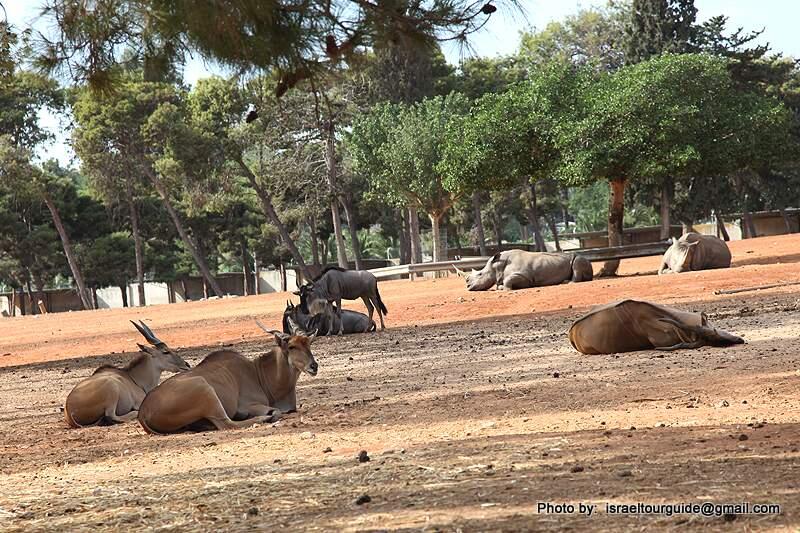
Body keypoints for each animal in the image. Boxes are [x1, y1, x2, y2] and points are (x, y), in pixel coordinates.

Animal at [138, 320, 316, 432]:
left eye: (308, 343)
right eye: (291, 346)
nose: (314, 366)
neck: (258, 373)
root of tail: (143, 413)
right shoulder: (249, 405)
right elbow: (276, 411)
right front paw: (268, 416)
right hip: (204, 389)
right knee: (227, 424)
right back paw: (262, 419)